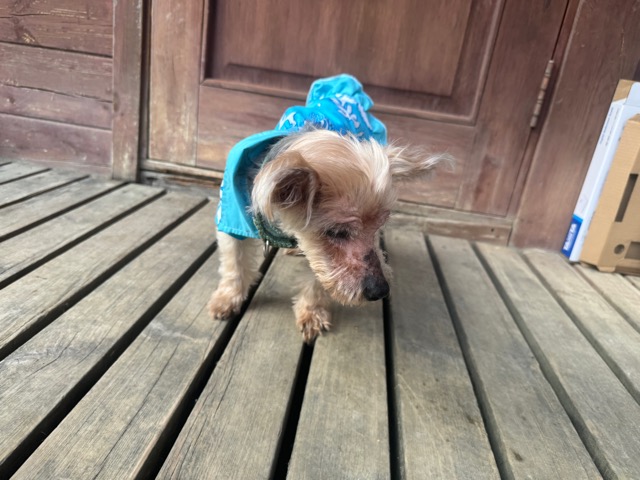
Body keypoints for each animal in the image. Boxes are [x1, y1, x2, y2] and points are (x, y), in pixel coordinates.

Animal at [208, 75, 450, 342]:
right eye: (337, 232)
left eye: (379, 227)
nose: (380, 291)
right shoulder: (232, 217)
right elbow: (234, 260)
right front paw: (227, 299)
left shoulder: (323, 256)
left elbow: (318, 274)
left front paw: (312, 313)